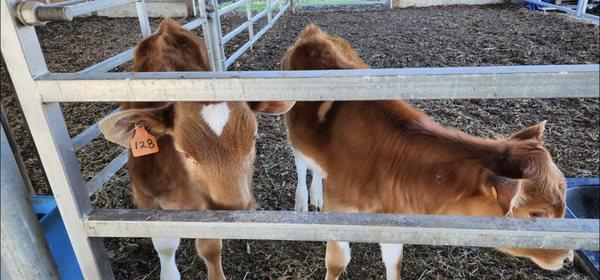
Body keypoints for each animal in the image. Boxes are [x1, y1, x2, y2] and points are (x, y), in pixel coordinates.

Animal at [101, 18, 296, 278]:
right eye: (185, 152)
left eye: (254, 137)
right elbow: (165, 245)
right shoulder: (145, 199)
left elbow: (210, 247)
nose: (235, 208)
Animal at [284, 24, 576, 280]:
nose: (568, 258)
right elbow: (337, 263)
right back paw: (302, 202)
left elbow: (394, 261)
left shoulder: (392, 220)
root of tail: (313, 31)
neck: (386, 164)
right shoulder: (340, 211)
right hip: (291, 127)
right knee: (301, 162)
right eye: (536, 215)